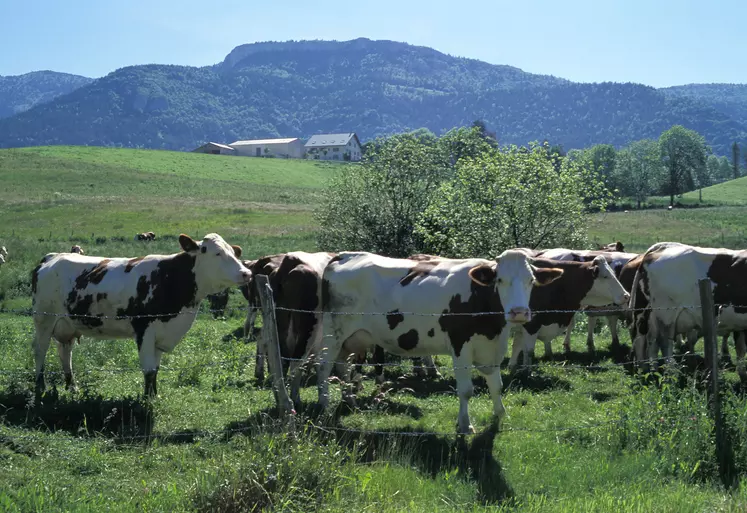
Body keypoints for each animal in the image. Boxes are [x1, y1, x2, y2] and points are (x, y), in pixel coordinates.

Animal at [30, 232, 253, 396]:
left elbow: (155, 369)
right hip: (44, 319)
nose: (246, 273)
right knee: (40, 350)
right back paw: (40, 386)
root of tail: (52, 257)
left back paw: (72, 386)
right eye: (215, 253)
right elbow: (148, 369)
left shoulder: (162, 333)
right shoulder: (144, 330)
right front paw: (147, 400)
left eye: (233, 253)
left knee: (64, 352)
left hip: (66, 324)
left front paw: (154, 395)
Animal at [312, 248, 564, 432]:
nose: (519, 312)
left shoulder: (492, 347)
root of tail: (344, 255)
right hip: (333, 333)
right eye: (500, 280)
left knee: (342, 366)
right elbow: (466, 390)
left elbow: (496, 385)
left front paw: (500, 414)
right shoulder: (460, 345)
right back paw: (324, 405)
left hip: (353, 338)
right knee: (324, 367)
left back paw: (350, 401)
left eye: (531, 280)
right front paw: (465, 425)